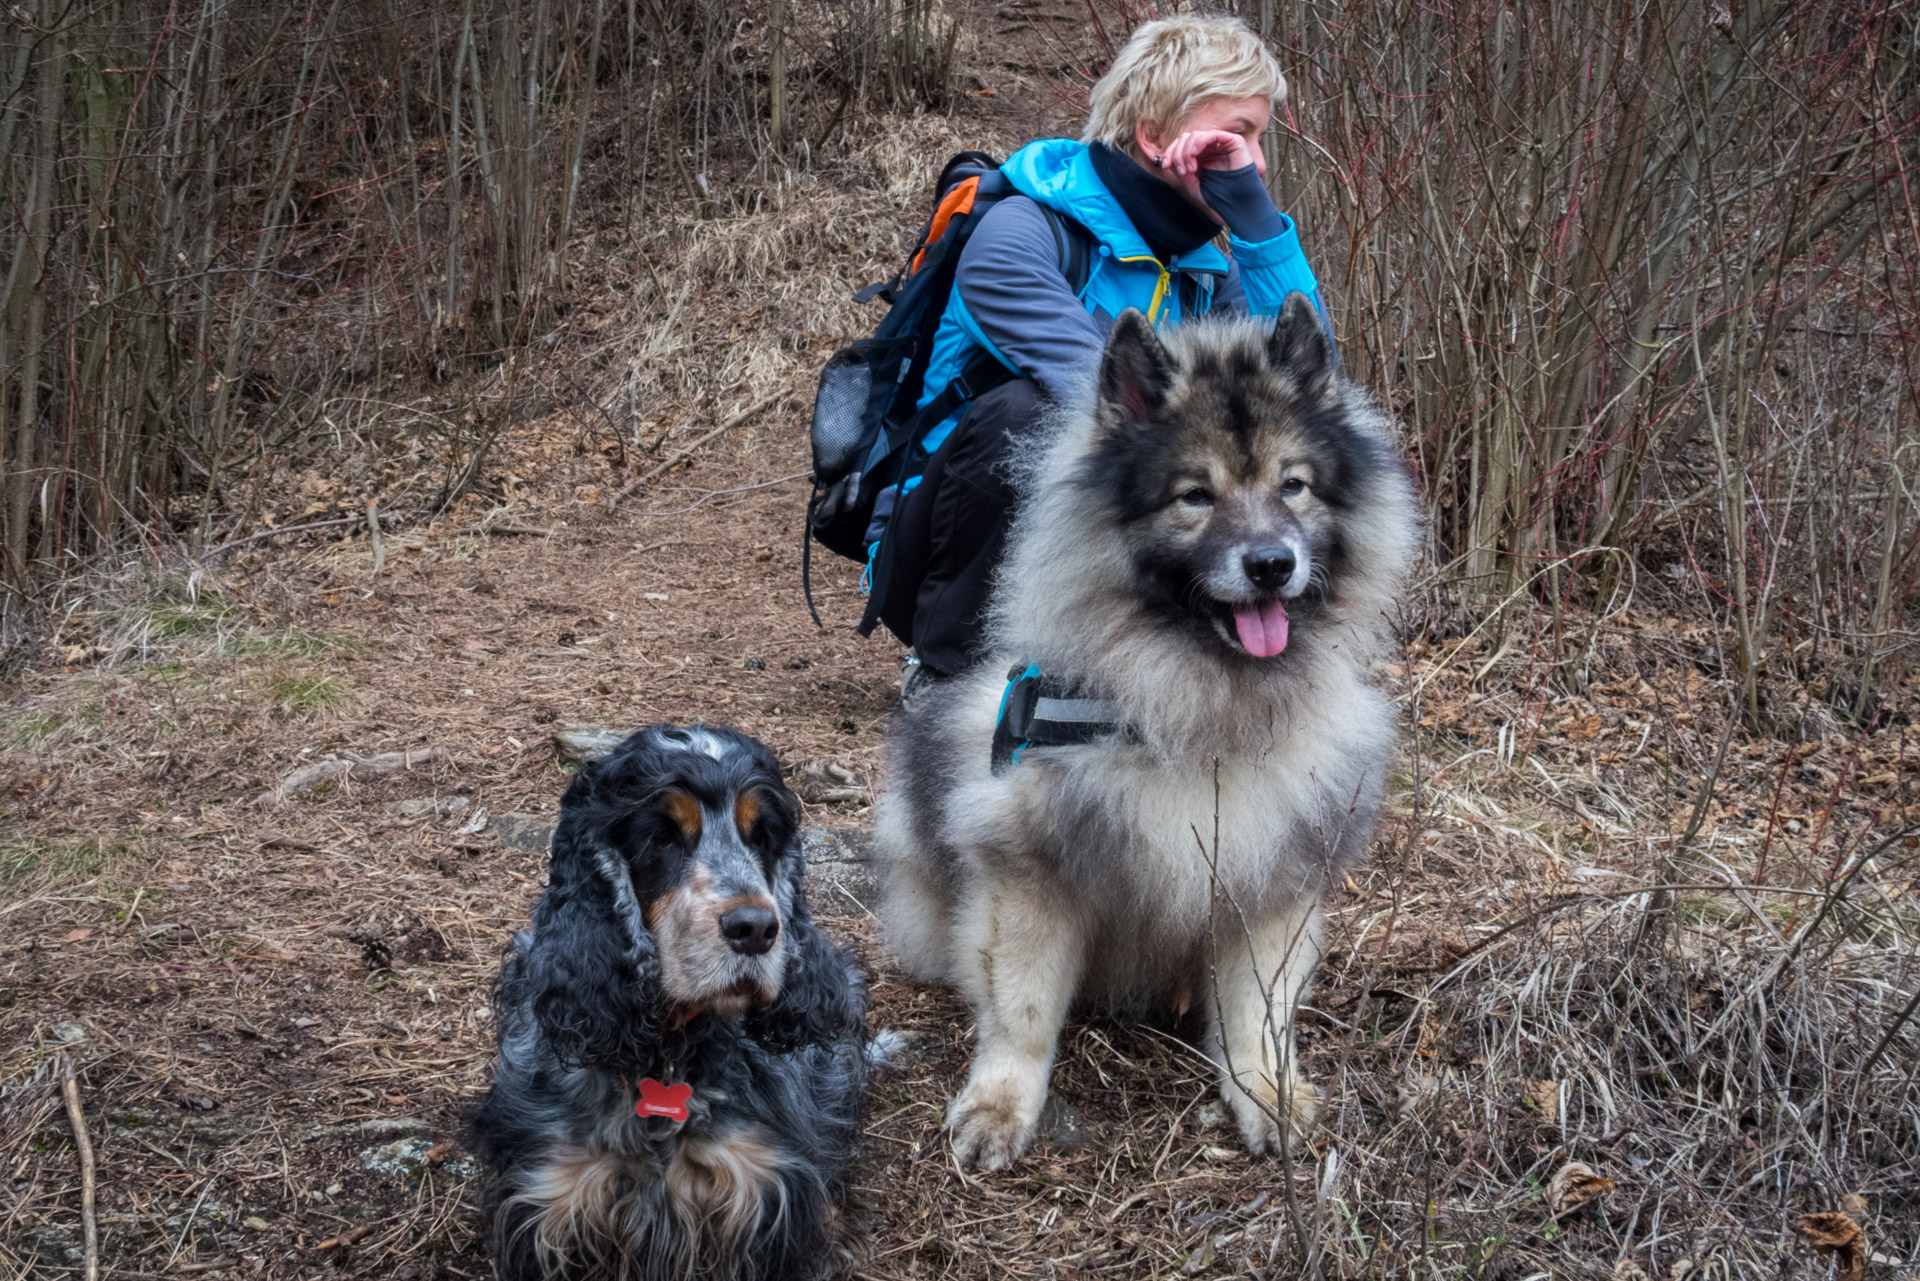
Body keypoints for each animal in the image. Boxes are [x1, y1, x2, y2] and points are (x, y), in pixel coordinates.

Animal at [879, 293, 1420, 1175]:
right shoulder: (1030, 871)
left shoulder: (1271, 879)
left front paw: (1265, 1092)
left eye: (1294, 486)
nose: (1271, 563)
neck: (1201, 708)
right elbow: (1023, 1012)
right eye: (1195, 495)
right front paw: (1000, 1105)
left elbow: (1257, 1015)